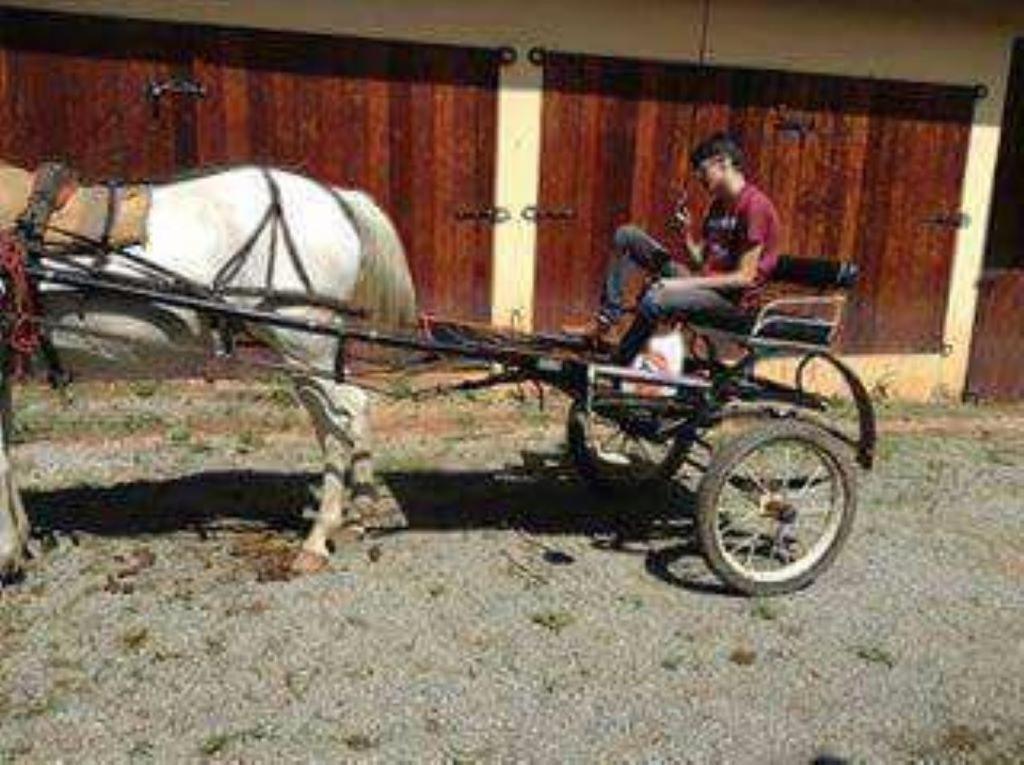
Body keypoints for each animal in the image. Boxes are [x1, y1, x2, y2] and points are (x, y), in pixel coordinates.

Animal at [0, 165, 417, 581]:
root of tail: (338, 199)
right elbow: (7, 450)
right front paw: (21, 541)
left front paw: (8, 554)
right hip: (304, 355)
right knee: (331, 424)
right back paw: (347, 520)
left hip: (304, 343)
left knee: (348, 412)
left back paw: (322, 535)